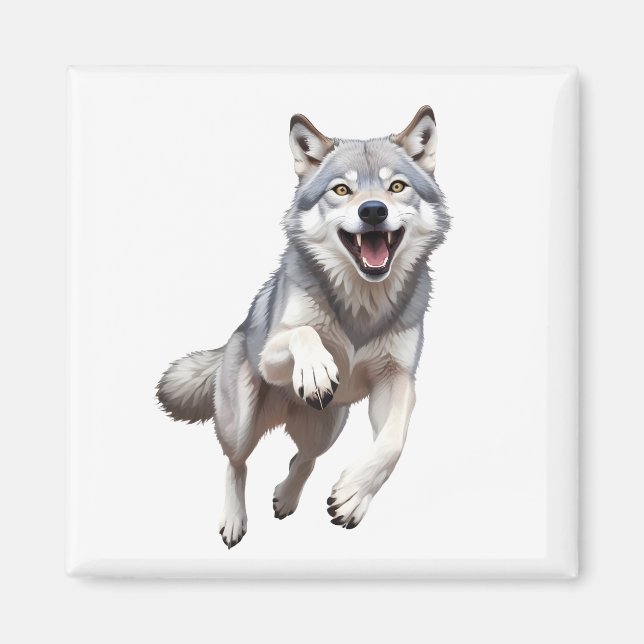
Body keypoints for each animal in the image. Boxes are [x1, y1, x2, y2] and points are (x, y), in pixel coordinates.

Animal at [157, 106, 449, 548]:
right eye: (342, 190)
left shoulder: (396, 379)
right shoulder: (272, 353)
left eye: (396, 186)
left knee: (304, 457)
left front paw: (353, 496)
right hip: (241, 420)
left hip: (327, 426)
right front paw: (315, 371)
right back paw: (234, 520)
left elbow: (392, 442)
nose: (373, 211)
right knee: (236, 462)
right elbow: (305, 333)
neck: (361, 304)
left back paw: (287, 497)